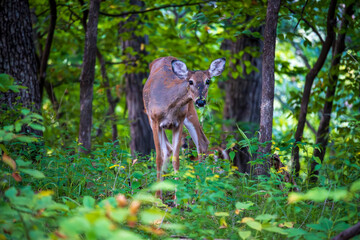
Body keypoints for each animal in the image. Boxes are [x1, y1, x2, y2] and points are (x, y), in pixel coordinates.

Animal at [143, 56, 225, 199]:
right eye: (190, 81)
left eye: (208, 81)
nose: (201, 101)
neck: (169, 105)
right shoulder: (154, 120)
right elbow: (159, 158)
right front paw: (158, 197)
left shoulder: (179, 122)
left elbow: (176, 159)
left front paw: (177, 198)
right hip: (153, 118)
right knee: (168, 150)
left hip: (190, 111)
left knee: (202, 142)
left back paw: (199, 193)